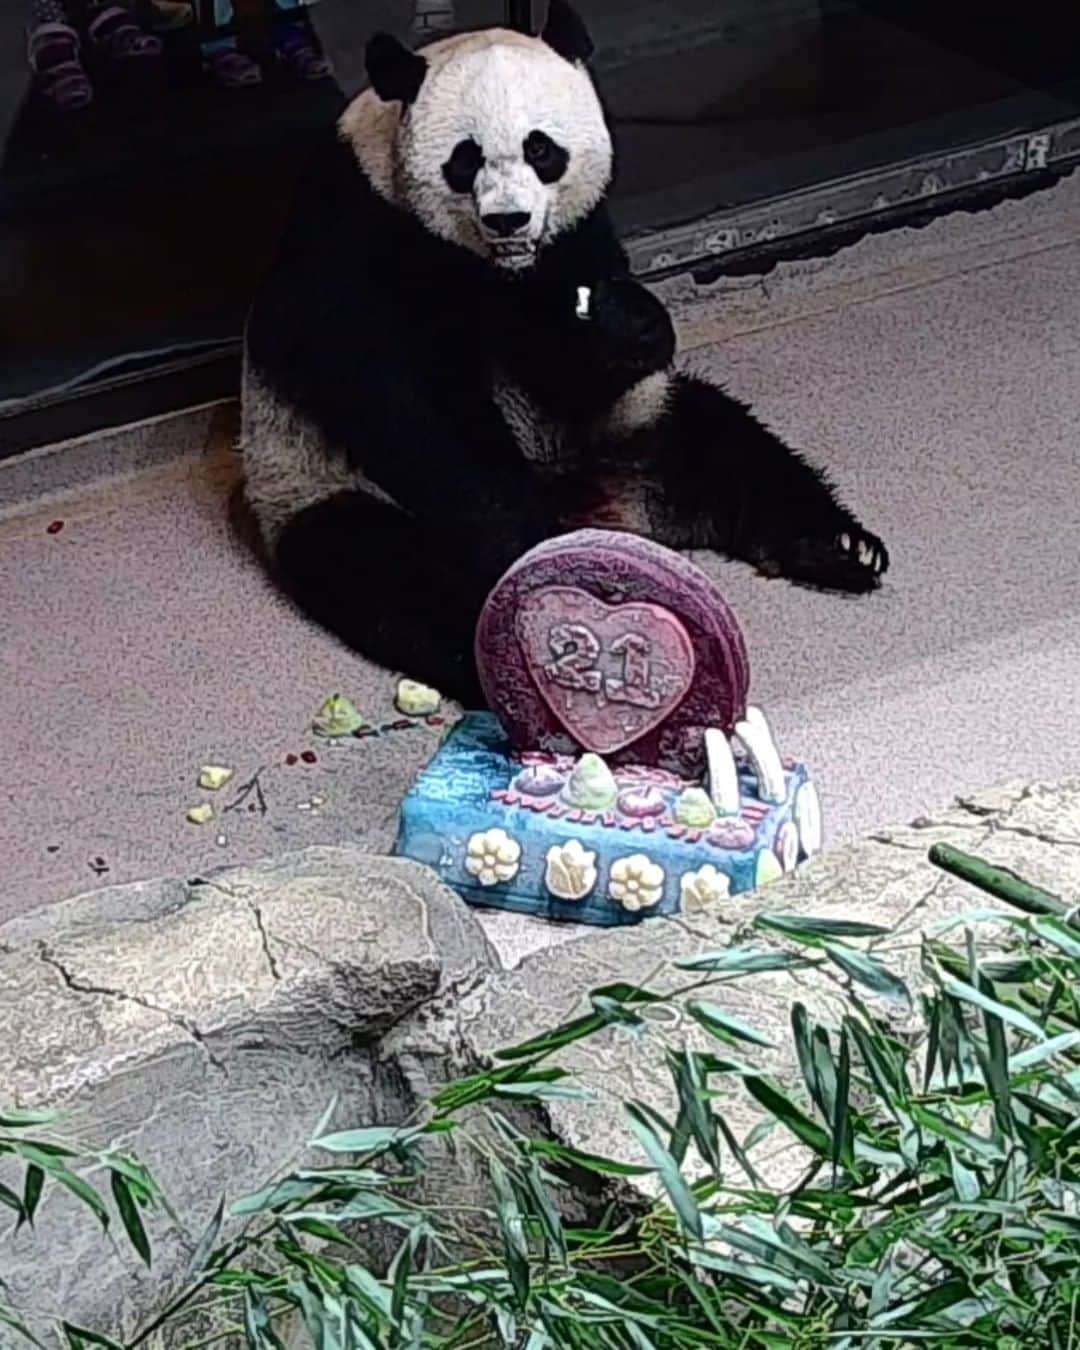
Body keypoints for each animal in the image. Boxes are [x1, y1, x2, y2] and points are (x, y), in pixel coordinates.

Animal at [240, 2, 891, 707]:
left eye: (541, 149)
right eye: (465, 159)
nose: (510, 219)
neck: (495, 263)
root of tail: (612, 509)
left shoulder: (574, 236)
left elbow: (566, 365)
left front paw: (624, 324)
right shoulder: (356, 237)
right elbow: (408, 404)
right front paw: (524, 530)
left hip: (638, 431)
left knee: (726, 444)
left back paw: (834, 546)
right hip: (318, 486)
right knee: (398, 577)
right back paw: (525, 631)